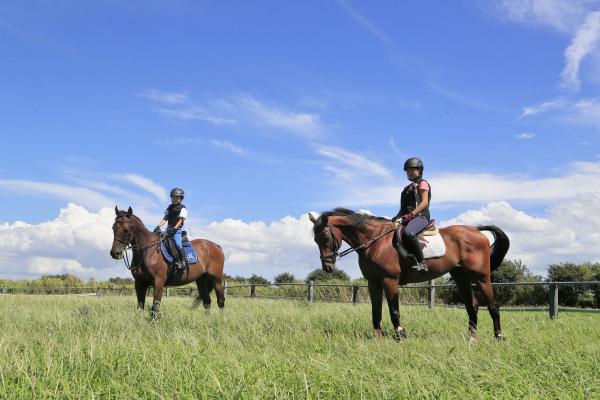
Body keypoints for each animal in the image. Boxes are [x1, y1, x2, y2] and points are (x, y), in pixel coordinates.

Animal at [310, 208, 510, 342]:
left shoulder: (389, 280)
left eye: (325, 237)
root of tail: (476, 230)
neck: (375, 241)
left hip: (481, 277)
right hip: (461, 277)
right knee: (472, 306)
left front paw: (400, 335)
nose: (327, 267)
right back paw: (472, 339)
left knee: (493, 305)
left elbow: (394, 310)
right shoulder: (373, 282)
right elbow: (376, 311)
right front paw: (377, 337)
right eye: (315, 240)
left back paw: (499, 337)